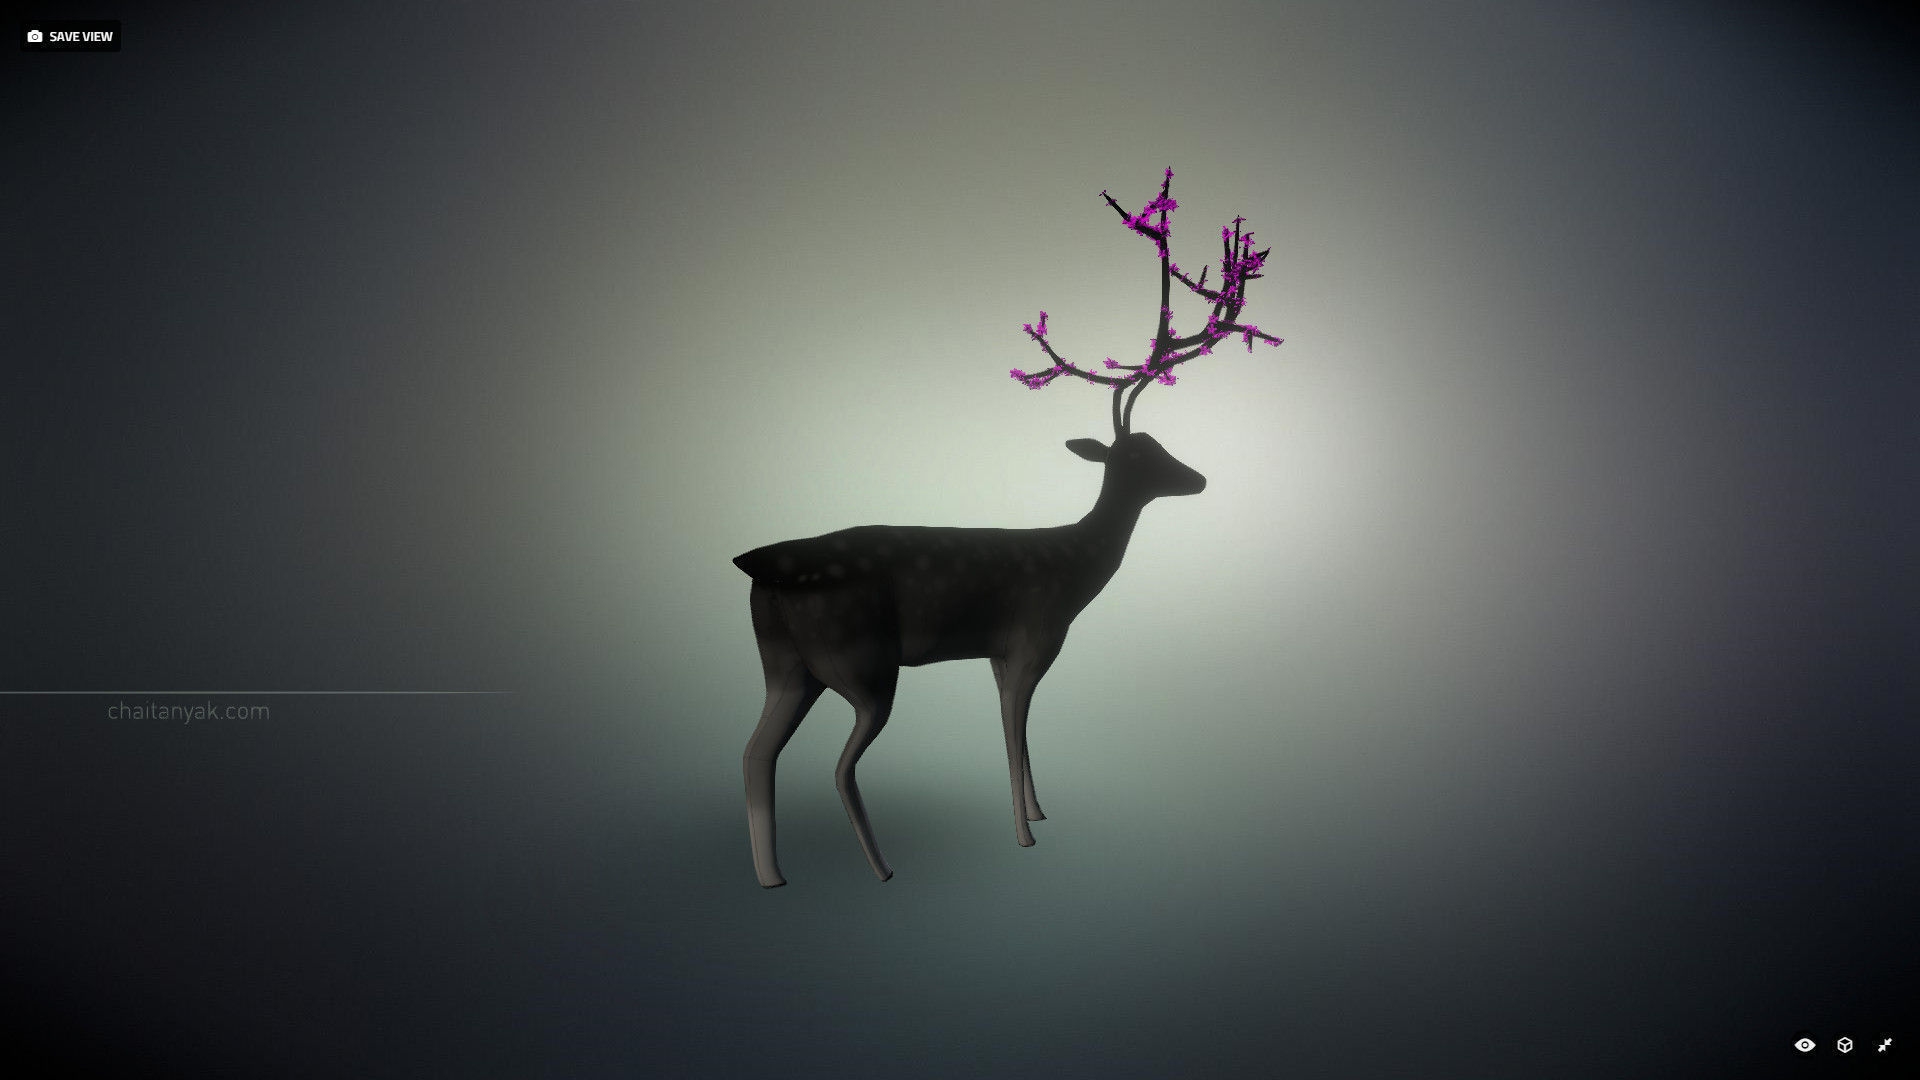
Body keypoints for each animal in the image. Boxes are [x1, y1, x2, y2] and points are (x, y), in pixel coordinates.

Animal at [734, 168, 1282, 886]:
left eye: (1159, 446)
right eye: (1143, 454)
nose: (1200, 479)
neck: (1073, 573)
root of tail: (755, 566)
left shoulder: (998, 653)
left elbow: (1018, 737)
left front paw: (1040, 811)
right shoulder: (1031, 637)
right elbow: (1013, 731)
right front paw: (1024, 835)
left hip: (785, 664)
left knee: (754, 752)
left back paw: (772, 876)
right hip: (860, 662)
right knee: (837, 765)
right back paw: (881, 869)